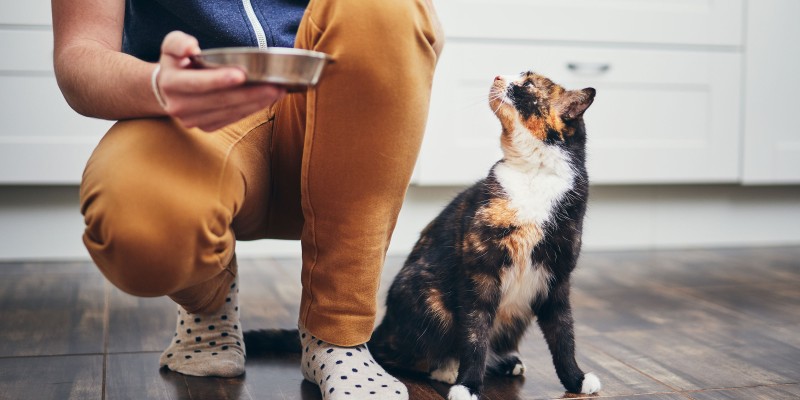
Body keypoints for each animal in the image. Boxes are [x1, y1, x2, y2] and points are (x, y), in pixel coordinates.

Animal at [368, 72, 600, 400]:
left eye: (528, 83)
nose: (498, 75)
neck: (534, 172)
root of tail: (384, 326)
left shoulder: (556, 278)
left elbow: (563, 335)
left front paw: (576, 380)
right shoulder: (480, 273)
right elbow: (475, 334)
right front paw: (466, 385)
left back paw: (507, 363)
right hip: (430, 300)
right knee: (391, 355)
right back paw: (446, 368)